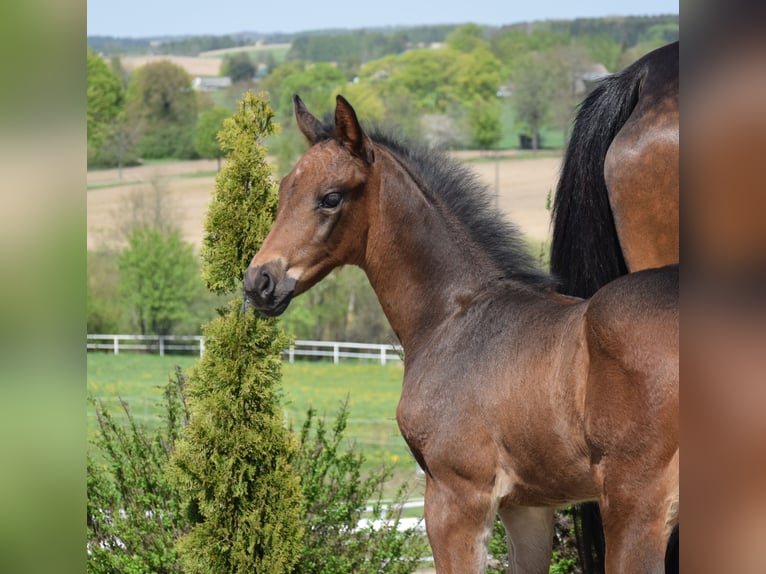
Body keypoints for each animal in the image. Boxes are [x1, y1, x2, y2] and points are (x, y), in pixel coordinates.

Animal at [244, 97, 680, 572]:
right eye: (283, 190)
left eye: (331, 198)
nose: (259, 281)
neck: (454, 317)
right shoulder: (529, 505)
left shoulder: (455, 494)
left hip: (634, 502)